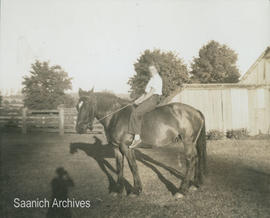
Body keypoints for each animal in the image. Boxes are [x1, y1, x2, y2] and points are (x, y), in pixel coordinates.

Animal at [76, 88, 207, 199]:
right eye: (77, 106)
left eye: (87, 105)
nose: (79, 128)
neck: (116, 116)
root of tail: (196, 111)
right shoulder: (117, 148)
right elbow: (120, 167)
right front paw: (118, 190)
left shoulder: (126, 147)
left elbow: (132, 167)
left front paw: (135, 191)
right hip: (193, 142)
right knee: (197, 158)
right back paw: (195, 184)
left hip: (188, 142)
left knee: (191, 160)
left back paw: (181, 191)